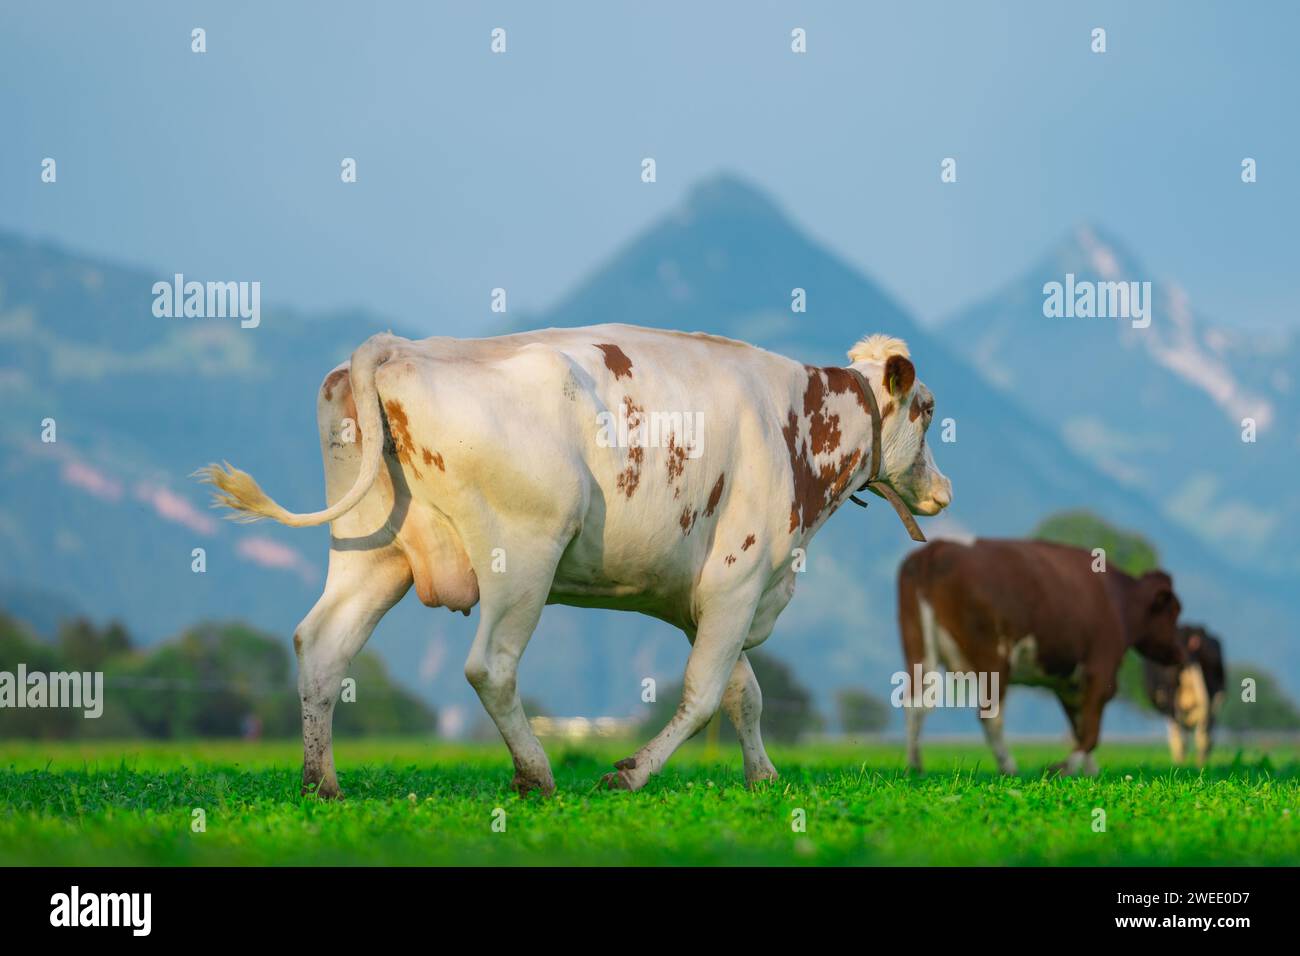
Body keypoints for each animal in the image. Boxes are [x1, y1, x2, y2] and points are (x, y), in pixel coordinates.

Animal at [198, 324, 951, 797]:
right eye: (927, 406)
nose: (943, 491)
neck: (795, 422)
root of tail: (395, 348)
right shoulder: (738, 578)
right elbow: (706, 692)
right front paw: (631, 773)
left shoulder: (704, 599)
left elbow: (746, 694)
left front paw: (763, 778)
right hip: (525, 553)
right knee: (490, 667)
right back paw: (537, 775)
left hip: (373, 551)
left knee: (321, 647)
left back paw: (320, 783)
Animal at [897, 539, 1185, 776]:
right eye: (1173, 612)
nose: (1178, 653)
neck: (1118, 602)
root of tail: (937, 547)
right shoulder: (1100, 671)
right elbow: (1090, 732)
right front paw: (1066, 767)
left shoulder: (1067, 683)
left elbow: (1079, 726)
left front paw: (1090, 770)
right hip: (994, 659)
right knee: (989, 715)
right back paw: (1009, 766)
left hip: (918, 650)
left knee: (915, 704)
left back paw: (915, 765)